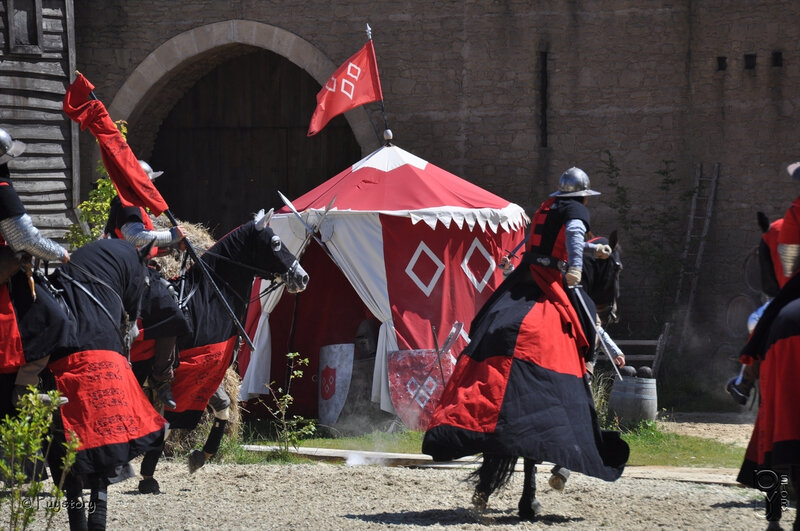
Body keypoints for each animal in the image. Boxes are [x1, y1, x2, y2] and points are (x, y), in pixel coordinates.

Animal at [131, 210, 306, 492]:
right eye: (276, 242)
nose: (303, 278)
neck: (208, 298)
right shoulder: (192, 371)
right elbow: (170, 421)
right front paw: (148, 475)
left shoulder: (208, 373)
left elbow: (222, 405)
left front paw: (200, 456)